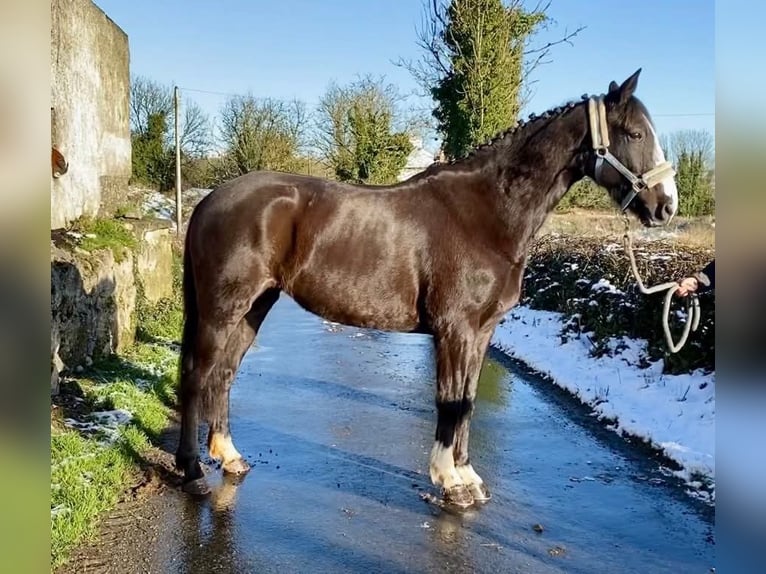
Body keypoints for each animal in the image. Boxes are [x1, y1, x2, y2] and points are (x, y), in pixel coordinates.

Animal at [174, 71, 680, 508]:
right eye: (635, 134)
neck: (487, 212)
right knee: (197, 375)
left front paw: (468, 476)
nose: (666, 207)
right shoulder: (455, 331)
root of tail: (209, 200)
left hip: (253, 307)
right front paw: (450, 482)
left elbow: (468, 402)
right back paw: (193, 472)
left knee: (223, 375)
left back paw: (230, 457)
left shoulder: (481, 333)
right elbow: (449, 400)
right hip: (222, 308)